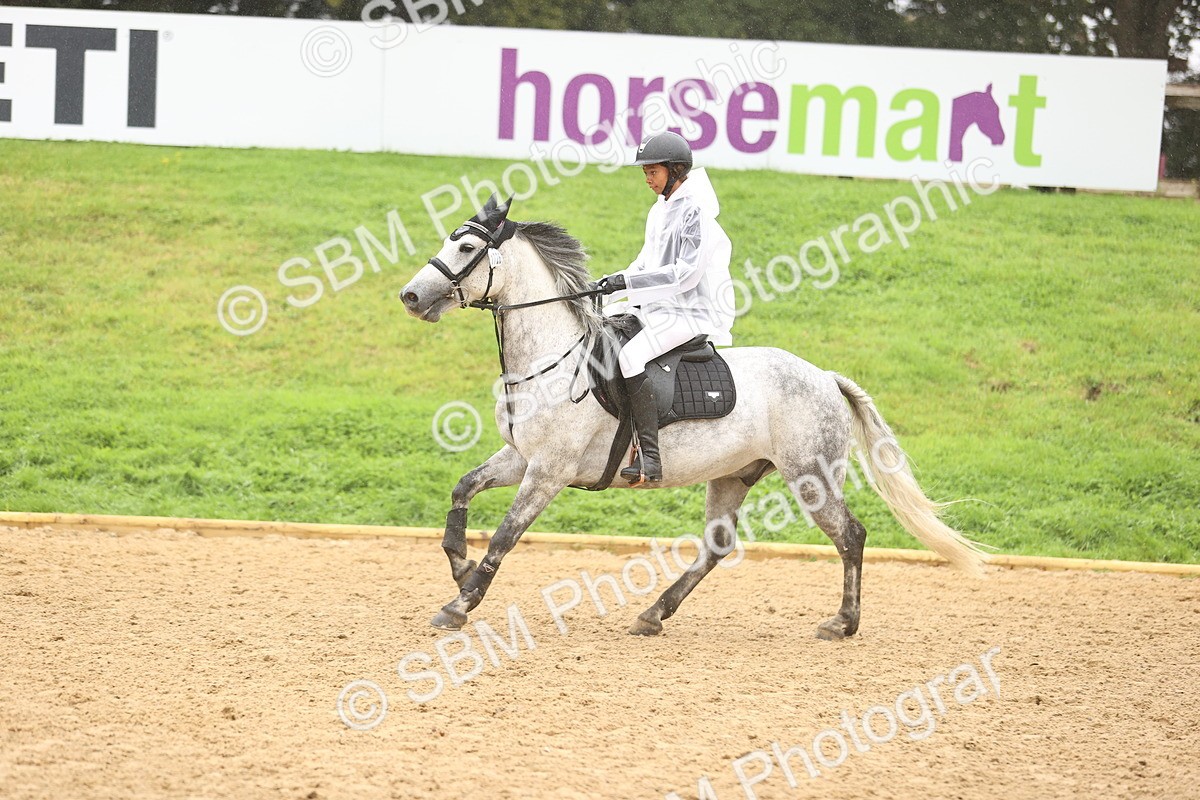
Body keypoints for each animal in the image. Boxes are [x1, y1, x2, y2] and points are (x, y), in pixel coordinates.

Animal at [399, 194, 986, 640]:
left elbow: (504, 537)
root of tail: (824, 376)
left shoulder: (549, 470)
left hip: (810, 475)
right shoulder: (521, 457)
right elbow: (462, 489)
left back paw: (842, 623)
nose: (411, 296)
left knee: (851, 535)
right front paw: (459, 568)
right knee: (718, 546)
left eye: (467, 247)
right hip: (735, 475)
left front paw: (460, 604)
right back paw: (653, 613)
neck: (553, 357)